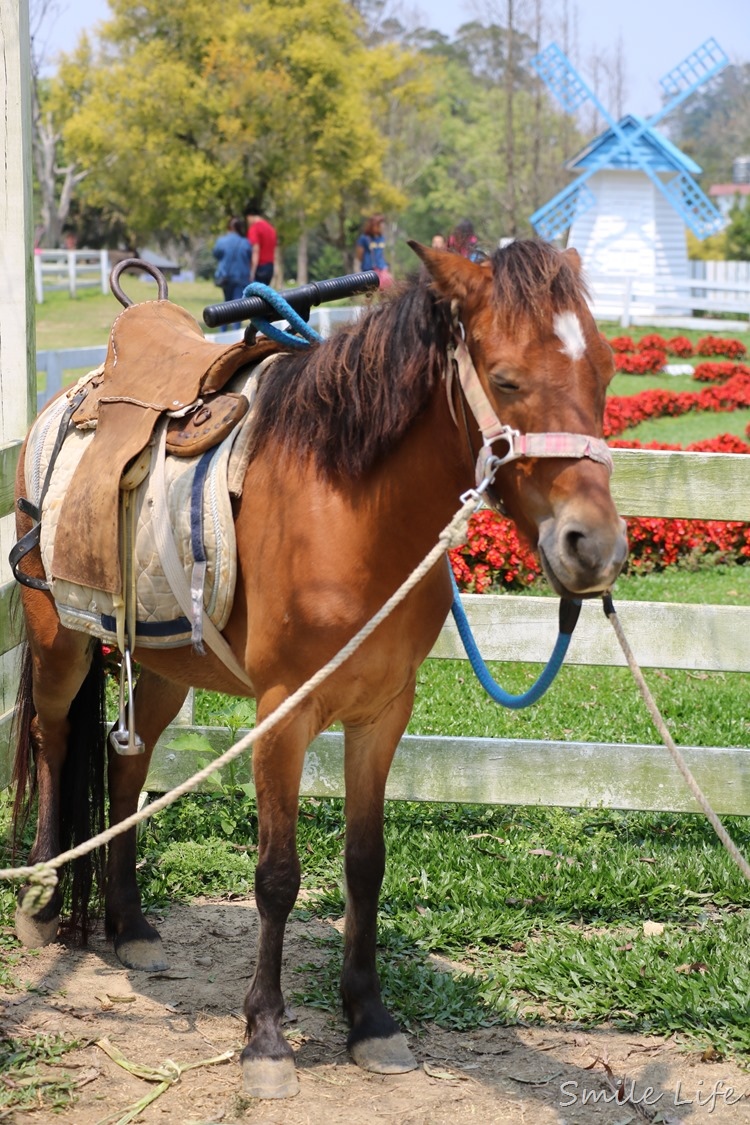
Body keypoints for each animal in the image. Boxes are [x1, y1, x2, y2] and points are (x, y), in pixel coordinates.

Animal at [8, 239, 629, 1098]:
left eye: (604, 371)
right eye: (505, 379)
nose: (593, 546)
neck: (351, 510)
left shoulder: (383, 713)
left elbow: (366, 865)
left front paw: (369, 1018)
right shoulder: (282, 714)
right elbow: (277, 874)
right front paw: (266, 1038)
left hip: (165, 665)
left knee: (123, 767)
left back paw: (130, 924)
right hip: (59, 641)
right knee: (54, 737)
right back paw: (39, 900)